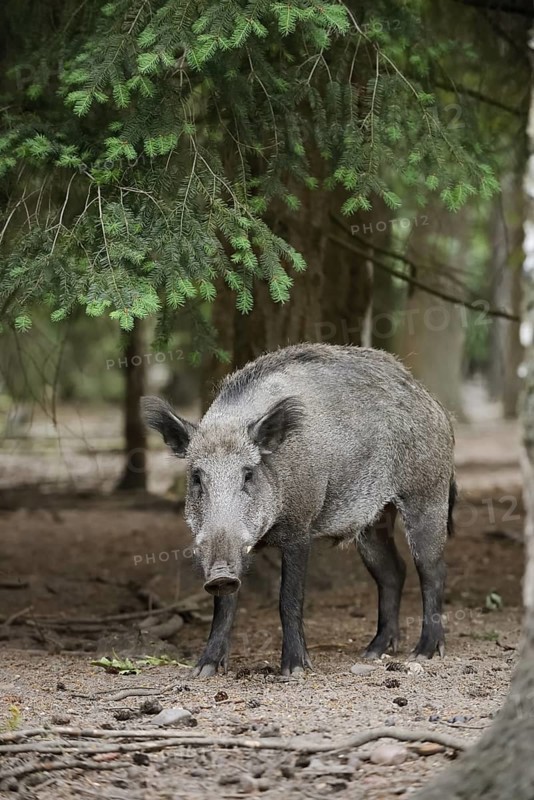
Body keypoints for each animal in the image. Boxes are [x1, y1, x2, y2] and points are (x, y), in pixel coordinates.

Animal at [141, 343, 456, 677]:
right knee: (393, 571)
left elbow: (289, 598)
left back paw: (424, 653)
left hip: (426, 494)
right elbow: (225, 605)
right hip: (373, 521)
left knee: (432, 569)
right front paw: (203, 670)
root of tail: (435, 404)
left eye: (248, 474)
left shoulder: (300, 528)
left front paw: (294, 670)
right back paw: (373, 652)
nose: (220, 575)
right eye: (197, 477)